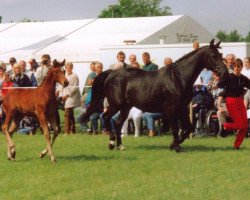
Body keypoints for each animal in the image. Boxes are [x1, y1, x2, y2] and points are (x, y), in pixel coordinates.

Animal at [88, 39, 229, 152]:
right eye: (213, 55)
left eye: (220, 55)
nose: (224, 73)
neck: (178, 77)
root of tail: (111, 73)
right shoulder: (172, 108)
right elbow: (175, 127)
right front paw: (176, 146)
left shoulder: (183, 108)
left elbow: (188, 127)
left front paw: (174, 144)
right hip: (116, 105)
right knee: (106, 117)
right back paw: (112, 143)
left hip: (125, 107)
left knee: (117, 123)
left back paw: (120, 146)